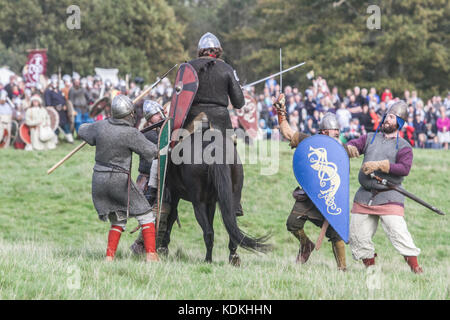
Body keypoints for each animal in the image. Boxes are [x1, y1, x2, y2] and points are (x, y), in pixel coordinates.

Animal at [159, 121, 268, 264]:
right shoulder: (210, 202)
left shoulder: (174, 193)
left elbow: (171, 217)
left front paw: (163, 247)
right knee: (230, 228)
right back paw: (232, 257)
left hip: (197, 203)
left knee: (208, 232)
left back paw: (208, 260)